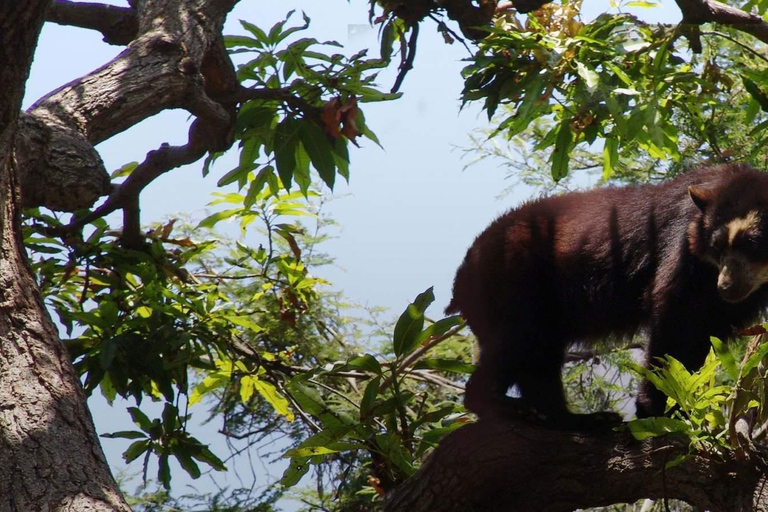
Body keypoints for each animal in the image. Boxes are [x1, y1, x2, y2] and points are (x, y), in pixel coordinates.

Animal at [444, 164, 768, 428]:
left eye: (752, 243)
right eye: (717, 246)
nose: (726, 287)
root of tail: (461, 277)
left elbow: (707, 331)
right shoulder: (681, 251)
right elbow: (674, 319)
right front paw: (658, 407)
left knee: (540, 359)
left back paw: (573, 418)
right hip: (513, 284)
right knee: (519, 342)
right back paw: (507, 406)